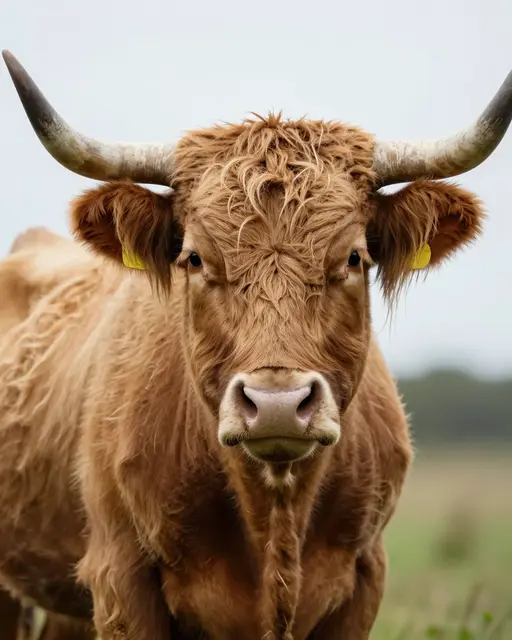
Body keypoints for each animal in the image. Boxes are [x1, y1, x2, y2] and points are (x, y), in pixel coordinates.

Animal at [0, 49, 511, 640]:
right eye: (195, 258)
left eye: (354, 257)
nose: (277, 405)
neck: (273, 514)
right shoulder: (119, 581)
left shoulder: (364, 577)